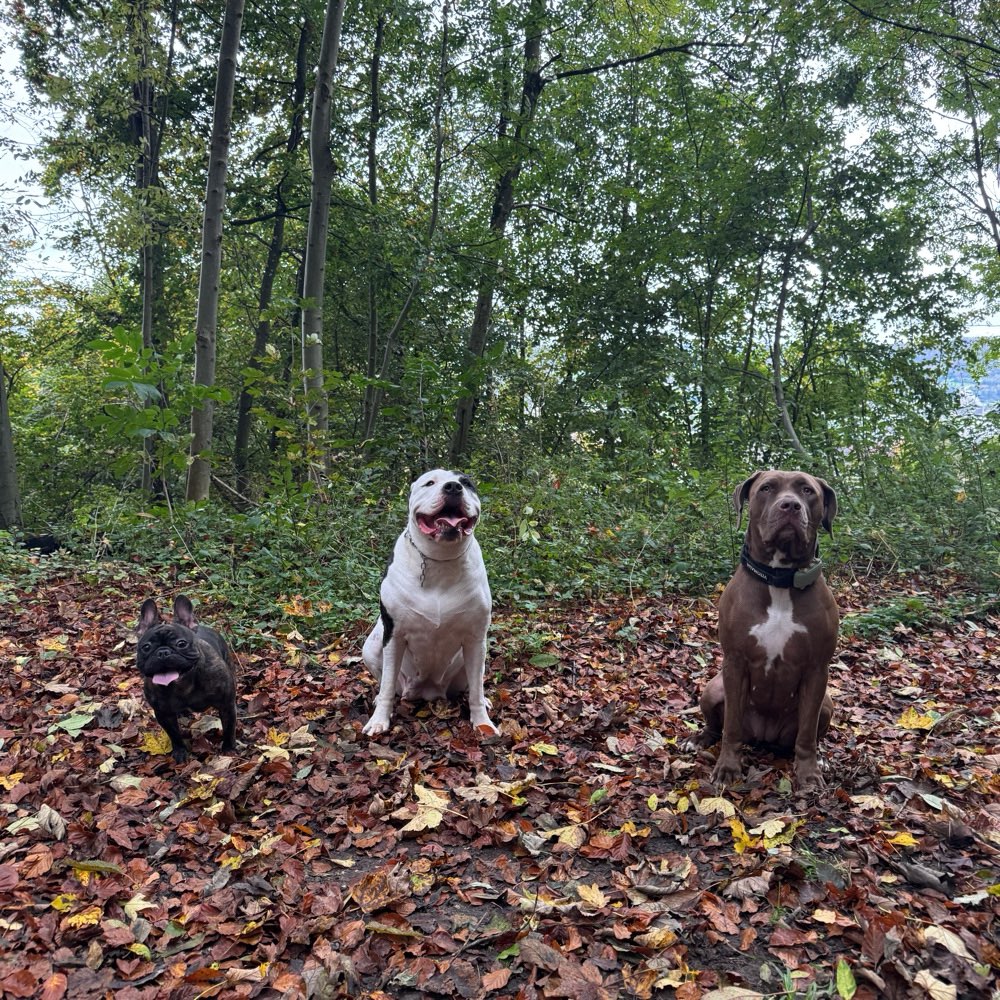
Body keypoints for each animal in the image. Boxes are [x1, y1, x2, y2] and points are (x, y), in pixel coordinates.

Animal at [364, 466, 496, 736]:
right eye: (430, 483)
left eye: (467, 483)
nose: (453, 487)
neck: (440, 559)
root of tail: (427, 691)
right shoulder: (393, 635)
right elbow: (386, 685)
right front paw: (379, 720)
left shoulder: (475, 638)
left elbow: (477, 689)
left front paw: (482, 722)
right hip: (371, 647)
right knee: (388, 684)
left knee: (473, 682)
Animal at [692, 468, 840, 788]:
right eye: (767, 488)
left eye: (807, 491)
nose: (790, 505)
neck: (780, 578)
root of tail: (763, 737)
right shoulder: (735, 662)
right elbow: (731, 727)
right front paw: (728, 768)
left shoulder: (817, 669)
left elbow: (807, 733)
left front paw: (808, 772)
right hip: (712, 688)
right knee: (718, 725)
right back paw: (699, 739)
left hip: (827, 702)